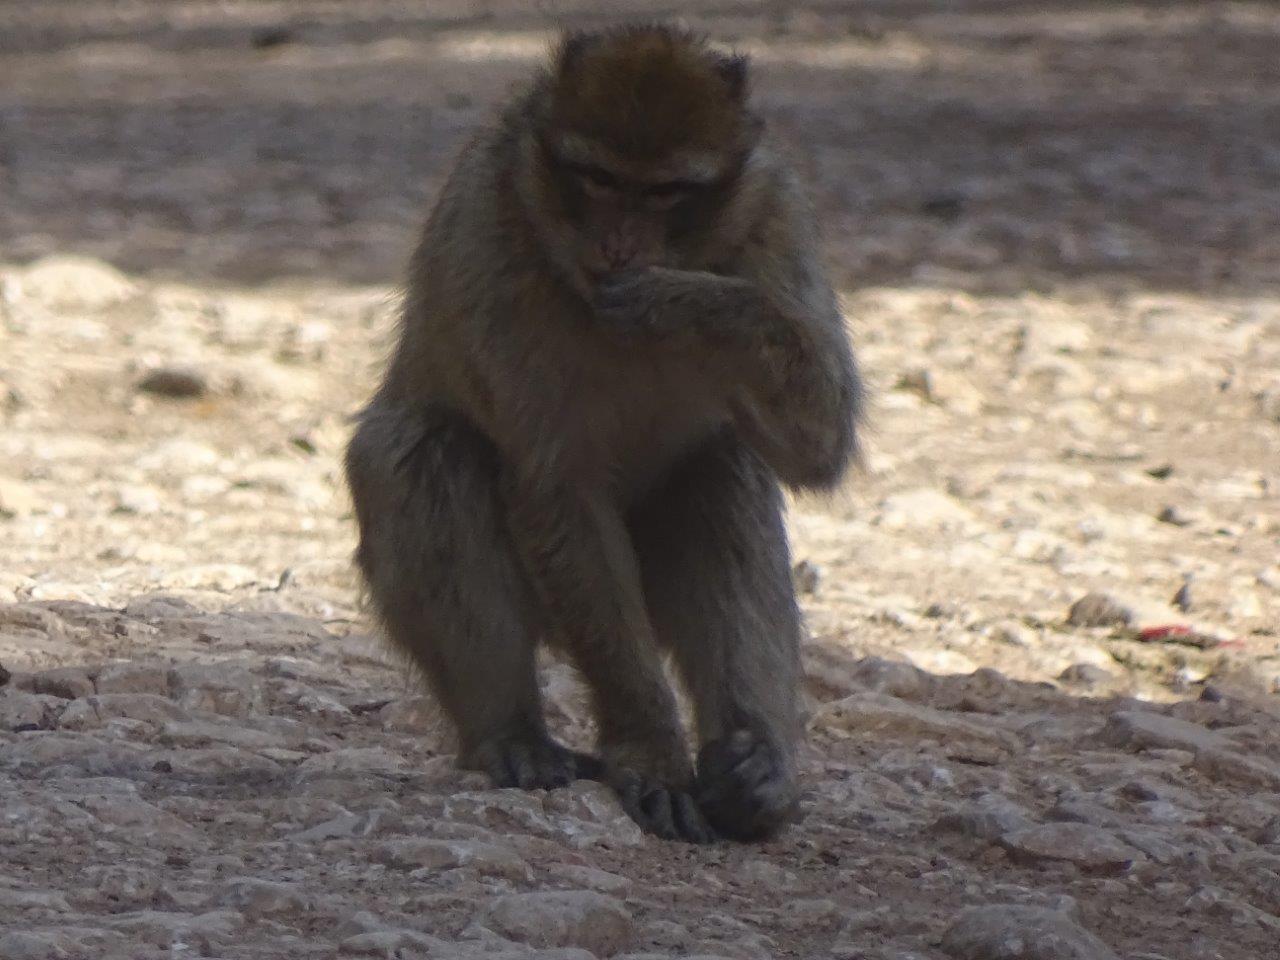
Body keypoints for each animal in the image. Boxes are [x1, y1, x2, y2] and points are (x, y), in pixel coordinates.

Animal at [344, 24, 862, 842]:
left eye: (664, 192)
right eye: (598, 179)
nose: (620, 247)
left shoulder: (773, 214)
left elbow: (820, 438)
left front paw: (680, 299)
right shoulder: (493, 235)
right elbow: (557, 486)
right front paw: (651, 752)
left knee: (723, 468)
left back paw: (757, 772)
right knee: (420, 451)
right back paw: (512, 735)